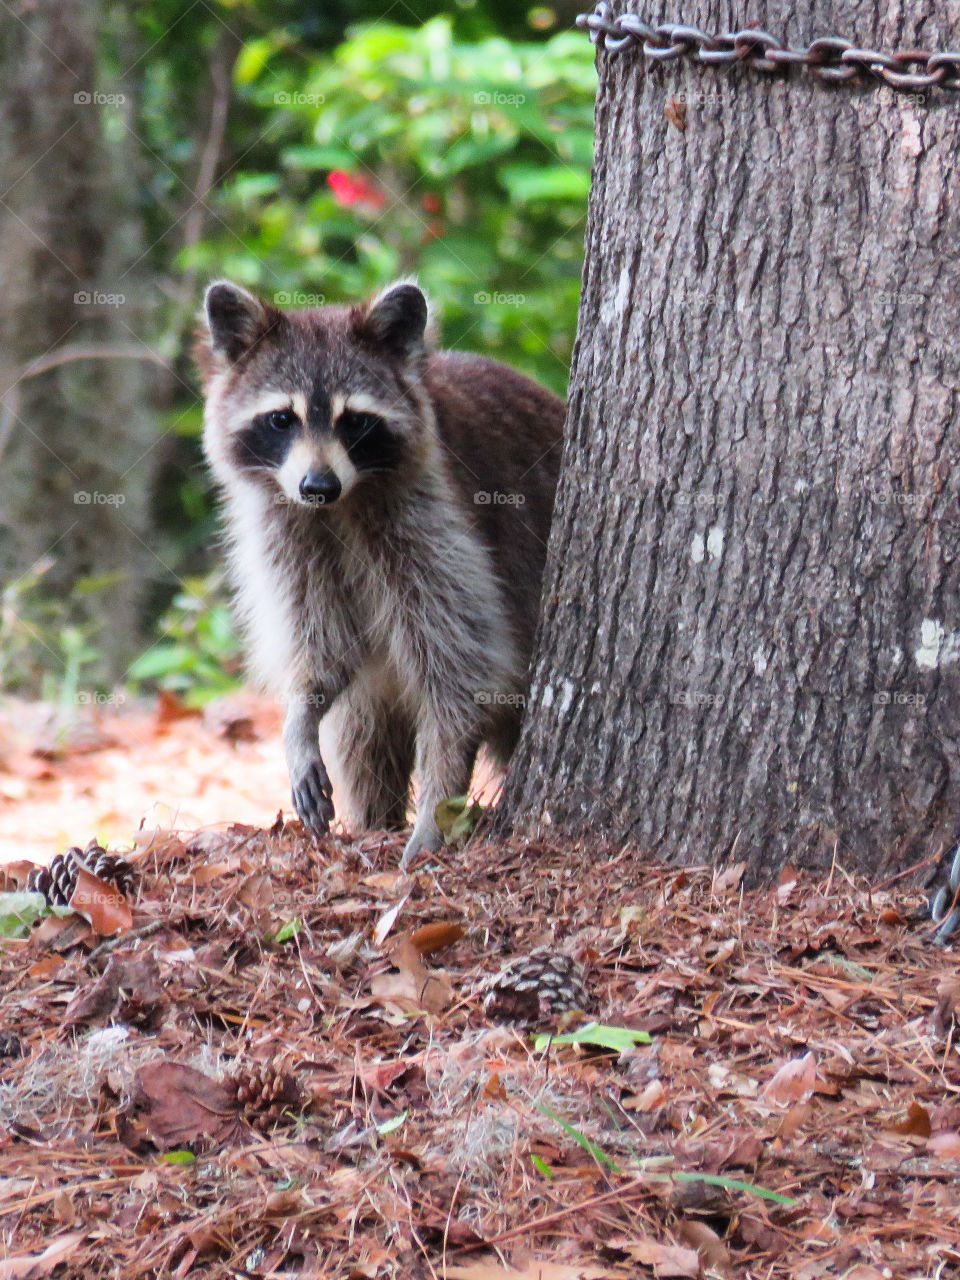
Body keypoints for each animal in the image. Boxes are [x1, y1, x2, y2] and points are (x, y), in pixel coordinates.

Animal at [196, 280, 564, 867]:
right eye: (281, 419)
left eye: (354, 421)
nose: (317, 485)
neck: (342, 505)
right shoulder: (288, 534)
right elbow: (325, 645)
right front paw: (300, 711)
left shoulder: (436, 521)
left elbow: (461, 667)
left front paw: (439, 800)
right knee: (362, 735)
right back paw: (374, 821)